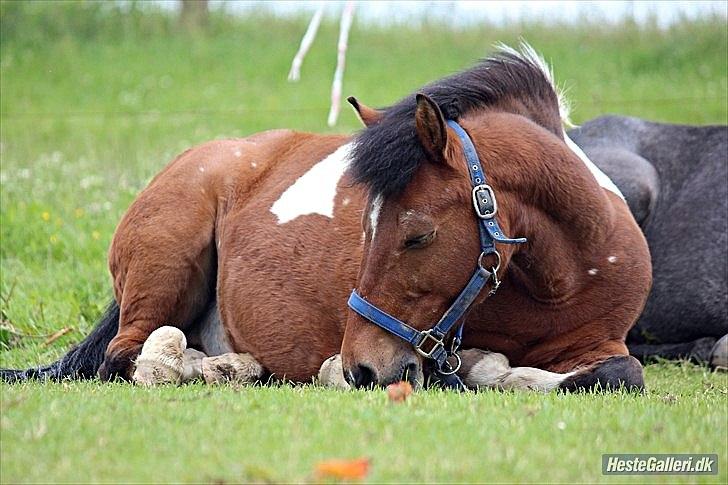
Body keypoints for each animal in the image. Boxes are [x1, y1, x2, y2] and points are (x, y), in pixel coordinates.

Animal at [0, 43, 656, 392]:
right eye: (365, 226)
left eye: (417, 235)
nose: (363, 365)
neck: (562, 275)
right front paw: (496, 370)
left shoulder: (601, 339)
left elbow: (622, 370)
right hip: (164, 265)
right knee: (130, 357)